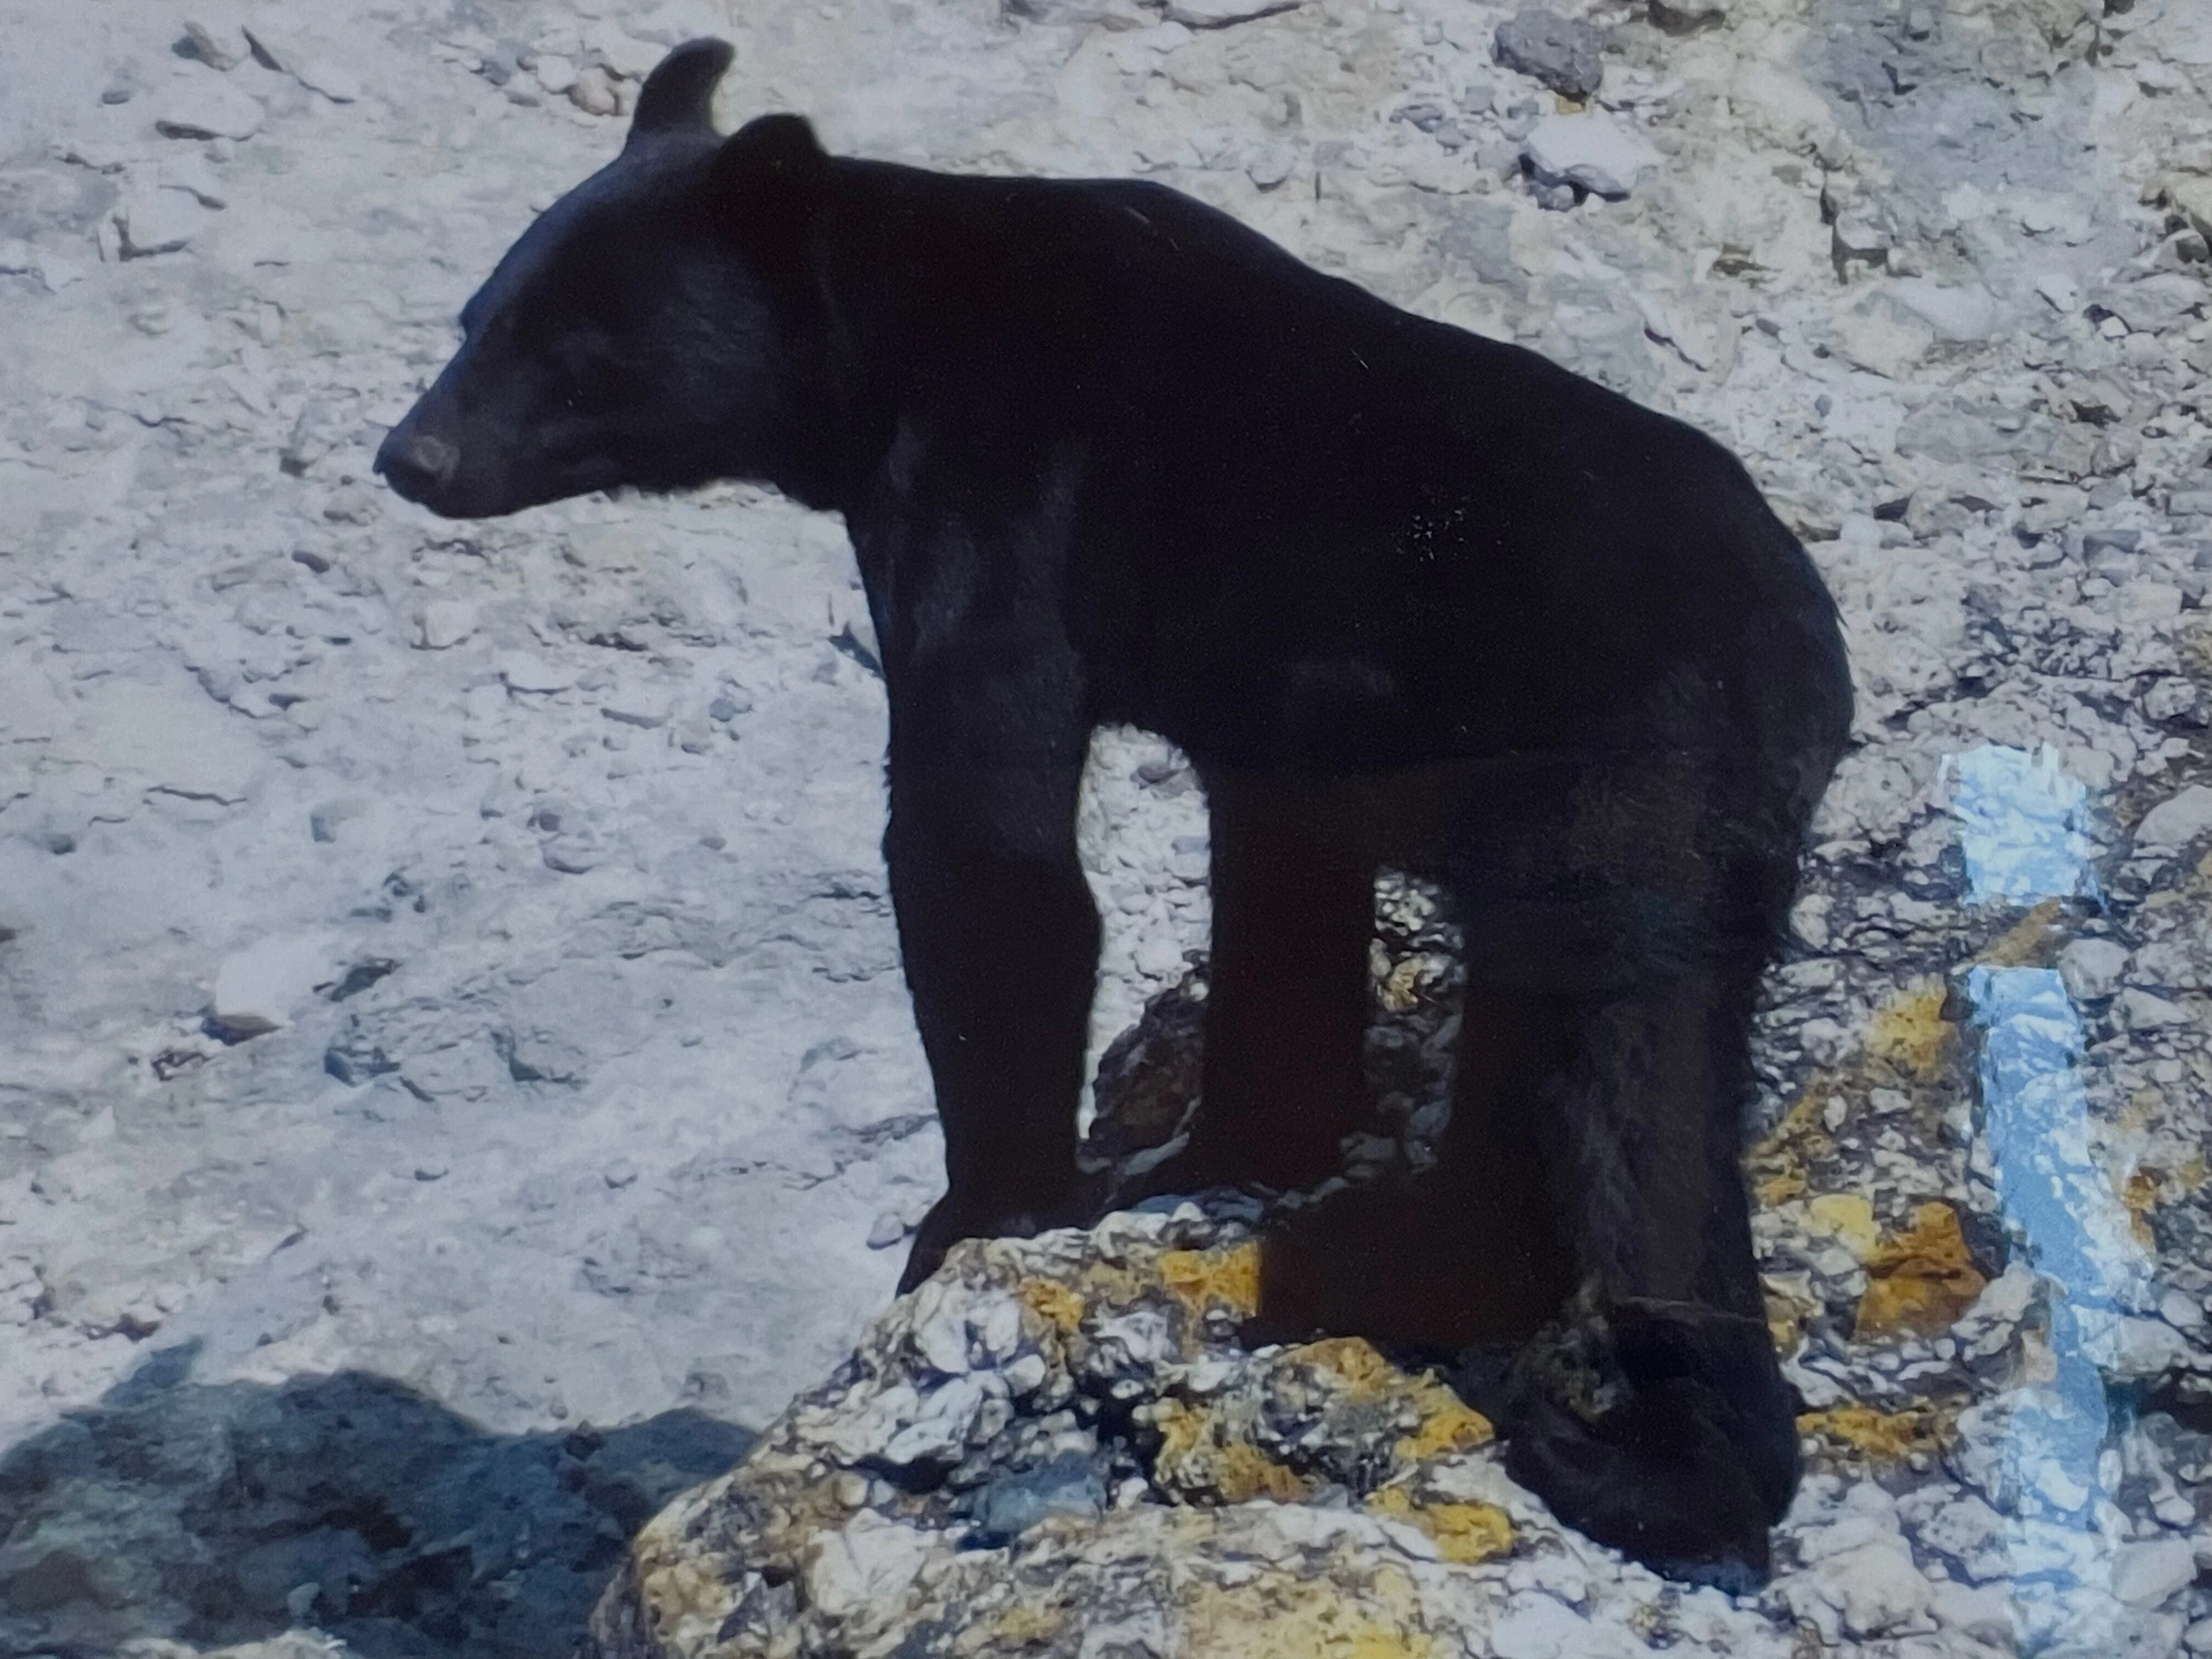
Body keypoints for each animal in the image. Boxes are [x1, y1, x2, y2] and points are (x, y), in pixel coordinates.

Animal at [375, 37, 1852, 1588]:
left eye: (567, 345)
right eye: (476, 314)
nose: (411, 455)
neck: (887, 335)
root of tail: (1804, 659)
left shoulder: (999, 487)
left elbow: (986, 845)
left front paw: (978, 1219)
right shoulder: (1282, 721)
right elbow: (1275, 888)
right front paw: (1218, 1153)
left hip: (1611, 782)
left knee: (1625, 1070)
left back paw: (1596, 1425)